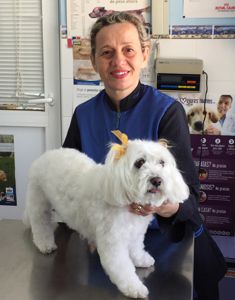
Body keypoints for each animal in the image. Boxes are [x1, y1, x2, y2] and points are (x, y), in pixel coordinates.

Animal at [23, 131, 189, 298]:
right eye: (140, 162)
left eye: (162, 163)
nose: (157, 180)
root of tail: (45, 156)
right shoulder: (112, 240)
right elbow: (121, 267)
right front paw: (134, 287)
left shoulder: (135, 232)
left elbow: (136, 247)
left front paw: (141, 259)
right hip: (39, 201)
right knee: (40, 224)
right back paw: (45, 244)